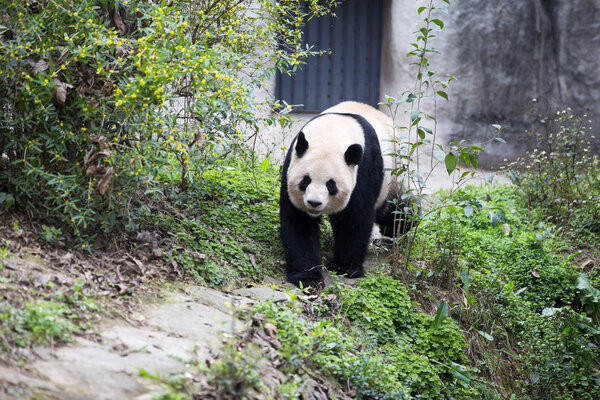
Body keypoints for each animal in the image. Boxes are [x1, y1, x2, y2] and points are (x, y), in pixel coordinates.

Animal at [280, 101, 412, 288]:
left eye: (331, 184)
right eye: (305, 180)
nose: (314, 203)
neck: (332, 133)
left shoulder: (364, 168)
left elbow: (354, 219)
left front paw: (344, 267)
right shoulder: (291, 163)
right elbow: (299, 222)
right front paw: (307, 276)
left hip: (393, 175)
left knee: (397, 211)